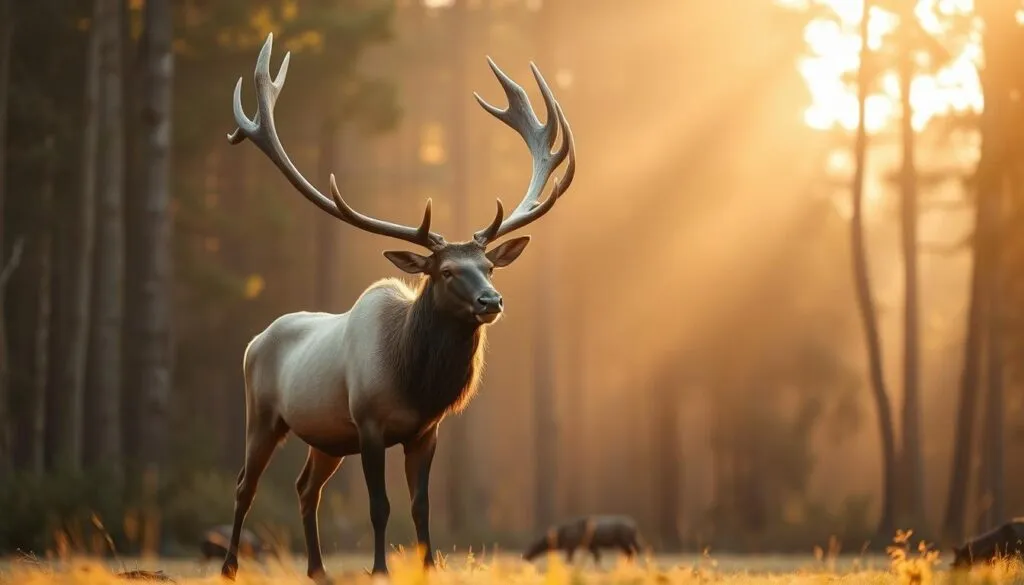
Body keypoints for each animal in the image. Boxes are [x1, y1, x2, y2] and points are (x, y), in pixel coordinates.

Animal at [220, 33, 575, 581]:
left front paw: (428, 565)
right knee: (244, 485)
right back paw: (230, 565)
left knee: (306, 488)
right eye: (445, 271)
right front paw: (380, 569)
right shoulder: (368, 422)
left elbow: (420, 505)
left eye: (489, 268)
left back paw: (318, 569)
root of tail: (255, 340)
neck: (415, 381)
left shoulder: (425, 432)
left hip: (325, 436)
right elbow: (379, 505)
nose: (491, 301)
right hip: (262, 414)